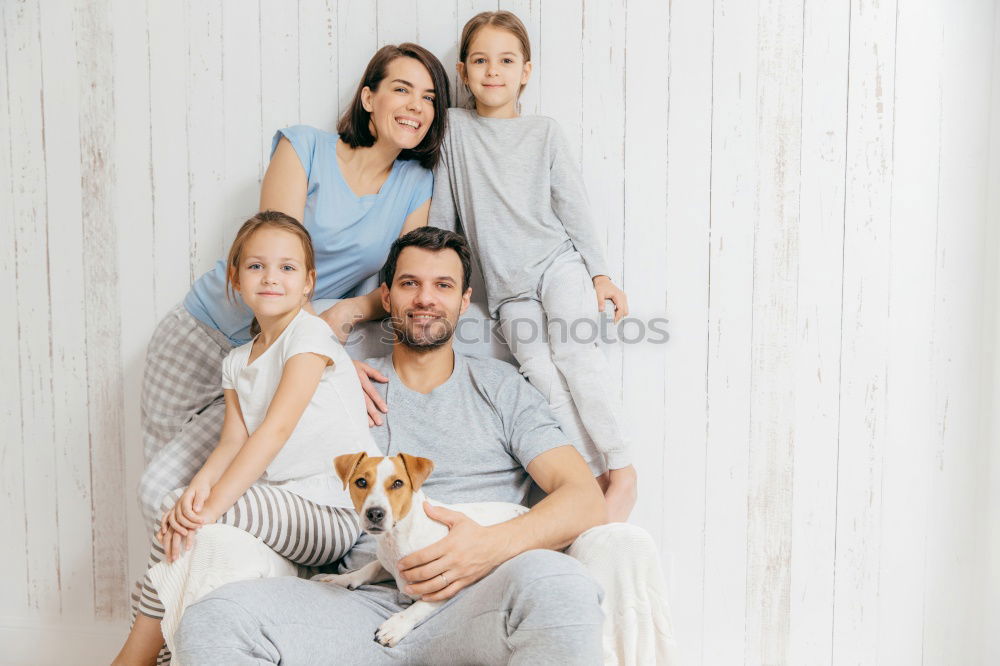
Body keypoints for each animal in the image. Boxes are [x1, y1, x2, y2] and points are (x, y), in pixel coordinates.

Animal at [316, 448, 528, 644]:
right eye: (361, 482)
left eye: (398, 483)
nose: (375, 513)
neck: (398, 537)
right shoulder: (391, 564)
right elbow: (370, 568)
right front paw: (341, 579)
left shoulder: (444, 584)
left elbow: (417, 608)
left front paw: (396, 625)